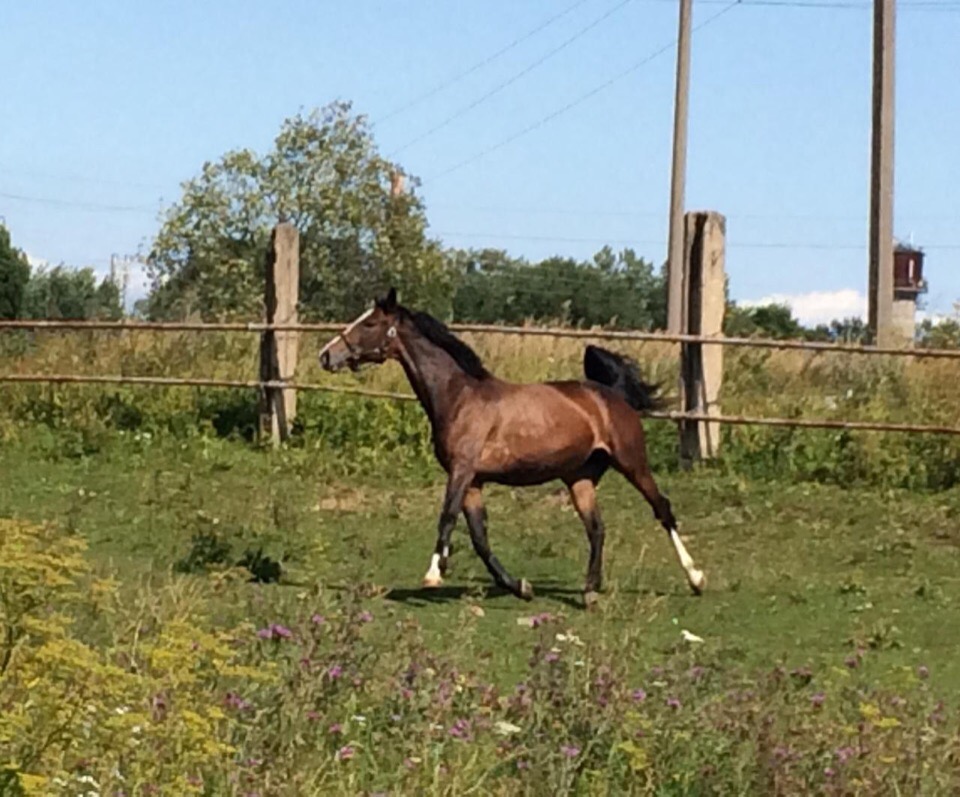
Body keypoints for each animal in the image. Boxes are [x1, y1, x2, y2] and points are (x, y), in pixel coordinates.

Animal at [318, 288, 705, 604]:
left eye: (370, 323)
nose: (326, 356)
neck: (459, 397)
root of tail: (611, 395)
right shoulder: (474, 481)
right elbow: (479, 538)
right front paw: (521, 587)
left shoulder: (461, 471)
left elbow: (446, 517)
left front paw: (433, 574)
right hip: (579, 478)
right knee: (597, 528)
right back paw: (590, 591)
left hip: (633, 462)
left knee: (662, 510)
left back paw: (696, 578)